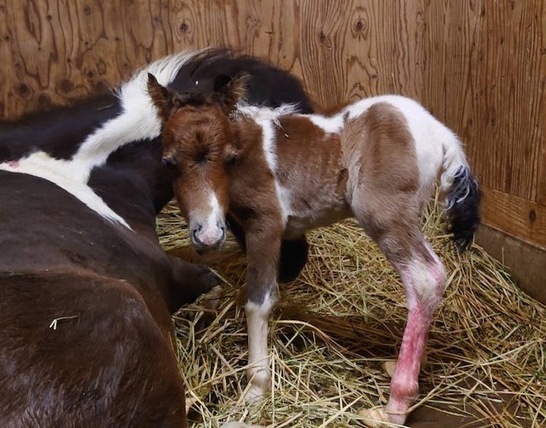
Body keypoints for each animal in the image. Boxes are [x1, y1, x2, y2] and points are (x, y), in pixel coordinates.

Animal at [147, 72, 478, 426]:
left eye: (229, 158)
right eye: (169, 163)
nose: (207, 235)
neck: (249, 149)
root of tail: (443, 136)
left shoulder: (266, 223)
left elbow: (258, 302)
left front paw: (254, 392)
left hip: (383, 213)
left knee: (425, 277)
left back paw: (393, 408)